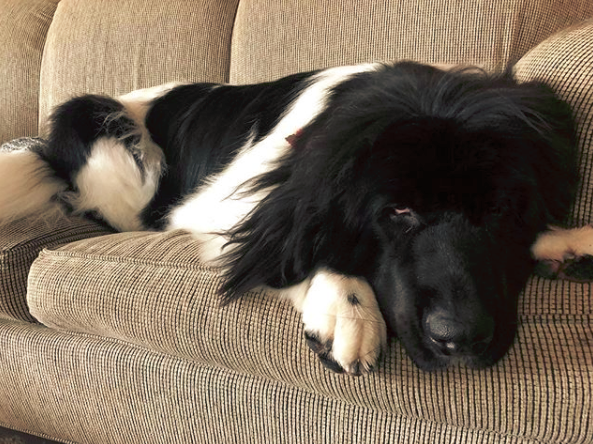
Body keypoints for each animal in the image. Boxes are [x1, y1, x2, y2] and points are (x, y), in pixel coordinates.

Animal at [0, 60, 584, 374]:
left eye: (501, 209)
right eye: (397, 211)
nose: (458, 337)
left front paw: (566, 242)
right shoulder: (219, 205)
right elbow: (288, 241)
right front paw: (349, 308)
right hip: (104, 130)